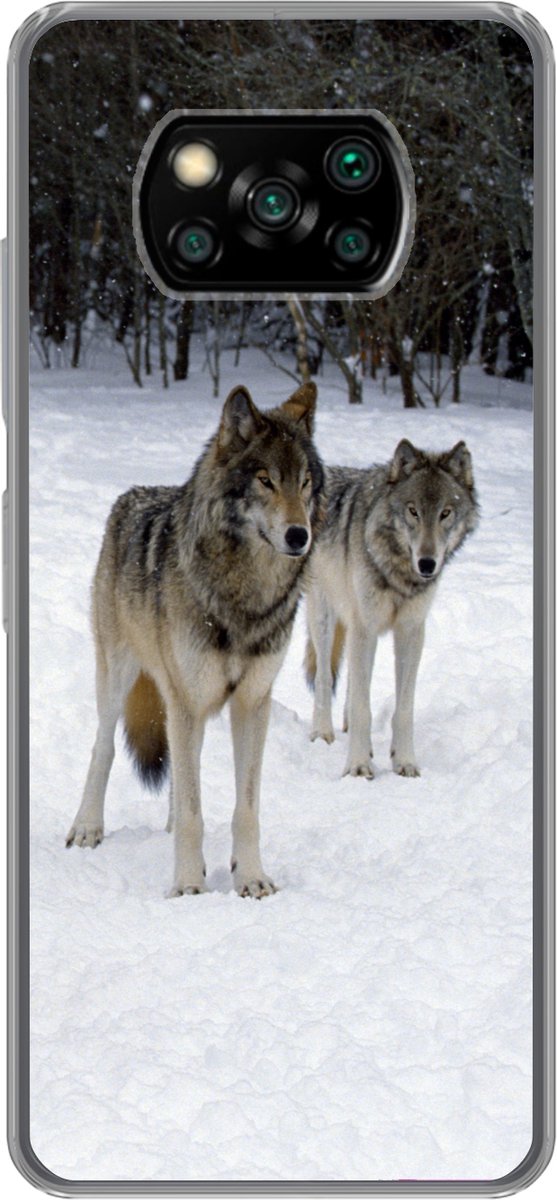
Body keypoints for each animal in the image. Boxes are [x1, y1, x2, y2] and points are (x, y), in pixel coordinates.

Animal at [67, 381, 324, 897]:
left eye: (305, 482)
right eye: (265, 480)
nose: (299, 535)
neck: (244, 597)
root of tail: (132, 495)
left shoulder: (252, 702)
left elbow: (244, 809)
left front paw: (251, 877)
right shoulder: (188, 699)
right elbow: (192, 811)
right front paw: (187, 885)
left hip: (186, 703)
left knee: (183, 773)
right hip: (121, 677)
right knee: (104, 748)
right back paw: (87, 827)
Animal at [305, 438, 478, 779]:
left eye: (445, 513)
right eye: (413, 511)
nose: (427, 563)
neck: (399, 573)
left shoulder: (410, 631)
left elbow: (403, 707)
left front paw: (405, 762)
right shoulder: (365, 626)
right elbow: (362, 706)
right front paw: (358, 766)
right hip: (325, 617)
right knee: (324, 678)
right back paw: (322, 733)